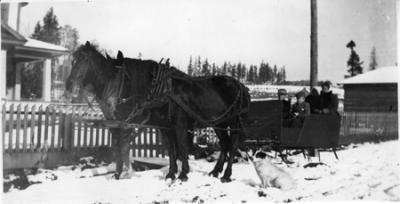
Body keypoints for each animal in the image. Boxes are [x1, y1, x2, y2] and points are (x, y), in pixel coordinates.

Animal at [67, 41, 252, 182]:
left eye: (84, 60)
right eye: (73, 60)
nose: (69, 85)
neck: (161, 91)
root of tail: (240, 85)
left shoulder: (178, 124)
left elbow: (181, 148)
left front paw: (183, 174)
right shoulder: (163, 126)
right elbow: (170, 150)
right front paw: (171, 174)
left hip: (233, 121)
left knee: (233, 144)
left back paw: (226, 175)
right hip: (218, 123)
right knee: (225, 144)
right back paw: (215, 171)